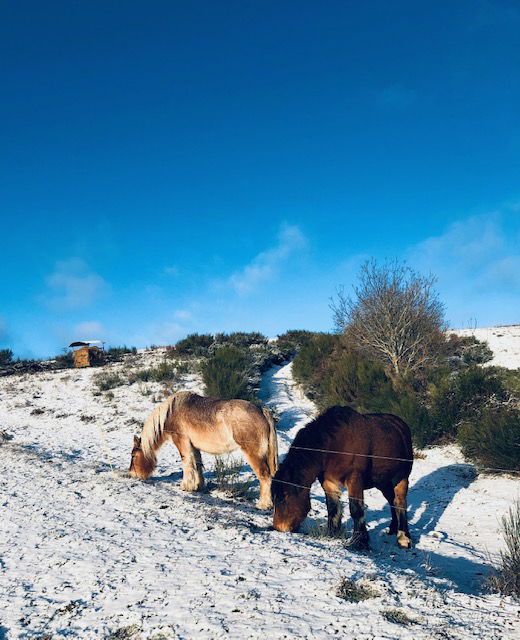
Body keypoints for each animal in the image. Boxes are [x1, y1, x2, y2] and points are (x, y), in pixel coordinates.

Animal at [128, 390, 278, 510]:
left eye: (133, 456)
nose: (132, 474)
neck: (171, 412)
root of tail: (262, 412)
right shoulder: (194, 446)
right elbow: (197, 464)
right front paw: (198, 485)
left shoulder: (181, 441)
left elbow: (187, 462)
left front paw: (186, 486)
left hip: (254, 455)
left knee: (264, 476)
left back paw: (263, 505)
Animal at [272, 408, 414, 548]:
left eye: (284, 497)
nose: (279, 528)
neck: (333, 446)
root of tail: (401, 425)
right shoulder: (328, 483)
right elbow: (333, 508)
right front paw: (332, 534)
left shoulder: (354, 480)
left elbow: (356, 510)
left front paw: (360, 541)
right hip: (383, 482)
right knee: (391, 500)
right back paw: (393, 528)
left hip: (401, 478)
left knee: (400, 503)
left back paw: (403, 538)